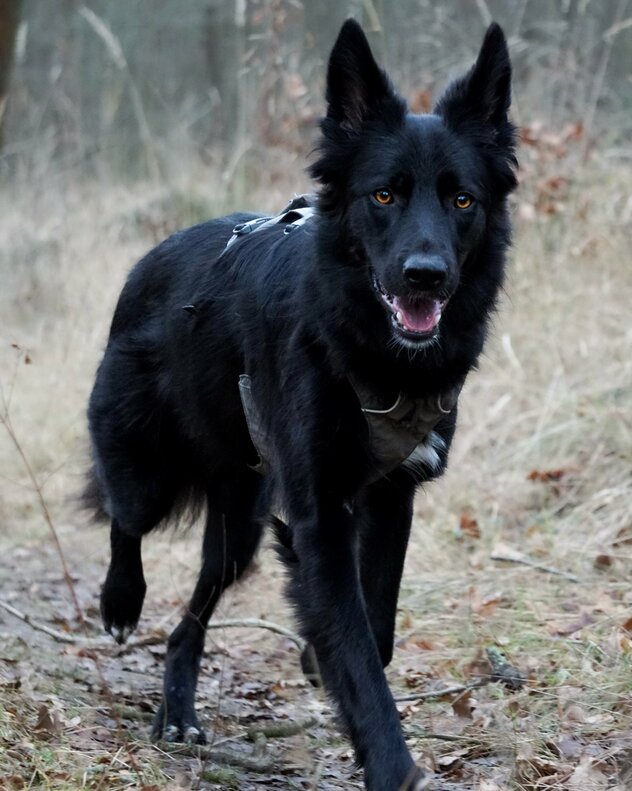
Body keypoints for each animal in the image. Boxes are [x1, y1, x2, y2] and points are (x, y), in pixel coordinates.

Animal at [86, 20, 516, 791]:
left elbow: (375, 625)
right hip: (148, 472)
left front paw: (322, 661)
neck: (372, 356)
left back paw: (178, 713)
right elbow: (355, 645)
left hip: (241, 529)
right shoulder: (318, 515)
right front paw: (391, 763)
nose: (426, 276)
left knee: (190, 620)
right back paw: (120, 603)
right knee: (123, 518)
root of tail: (152, 257)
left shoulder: (391, 497)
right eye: (384, 196)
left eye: (463, 200)